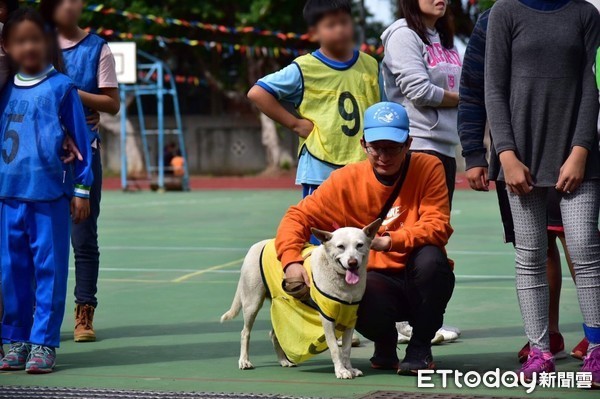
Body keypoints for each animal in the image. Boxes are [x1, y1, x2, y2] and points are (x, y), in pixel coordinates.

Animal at [220, 220, 380, 380]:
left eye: (359, 245)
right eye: (340, 246)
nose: (352, 262)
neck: (343, 283)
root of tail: (258, 245)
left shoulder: (349, 318)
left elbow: (346, 350)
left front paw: (350, 369)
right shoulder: (328, 319)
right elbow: (335, 348)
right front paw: (341, 370)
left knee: (274, 334)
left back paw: (283, 360)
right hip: (252, 303)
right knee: (245, 333)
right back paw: (244, 361)